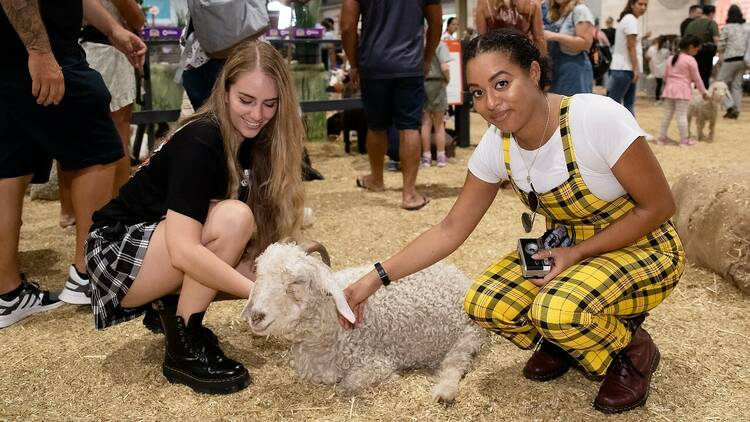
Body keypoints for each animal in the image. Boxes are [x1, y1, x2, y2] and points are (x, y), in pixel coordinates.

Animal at [242, 241, 488, 402]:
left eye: (297, 280)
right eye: (259, 275)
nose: (256, 316)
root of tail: (457, 275)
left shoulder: (375, 362)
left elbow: (346, 385)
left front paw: (391, 378)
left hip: (468, 335)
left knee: (455, 363)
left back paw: (444, 392)